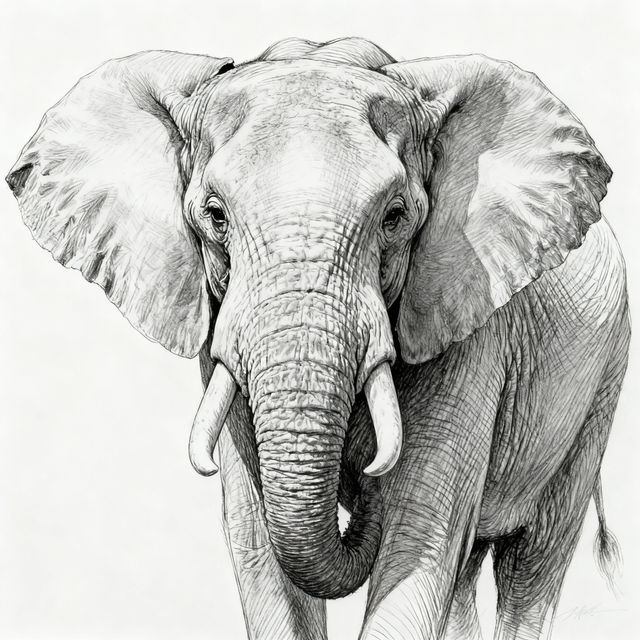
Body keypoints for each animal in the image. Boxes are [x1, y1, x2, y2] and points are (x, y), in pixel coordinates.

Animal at [6, 37, 630, 640]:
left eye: (395, 216)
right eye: (214, 215)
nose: (369, 480)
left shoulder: (469, 318)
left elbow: (420, 529)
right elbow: (258, 542)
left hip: (601, 388)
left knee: (533, 563)